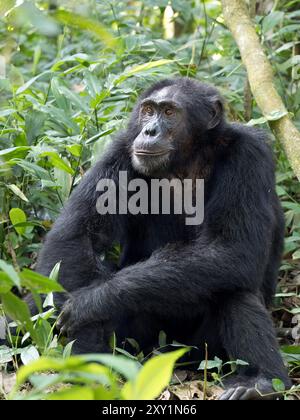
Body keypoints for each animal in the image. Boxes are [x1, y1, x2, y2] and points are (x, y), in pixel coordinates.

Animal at [35, 78, 290, 400]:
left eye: (169, 112)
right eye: (147, 111)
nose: (149, 130)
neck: (187, 158)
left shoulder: (249, 155)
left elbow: (233, 249)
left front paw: (89, 304)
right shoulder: (120, 152)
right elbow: (77, 238)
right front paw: (84, 350)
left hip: (200, 352)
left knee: (233, 288)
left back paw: (261, 382)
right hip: (144, 345)